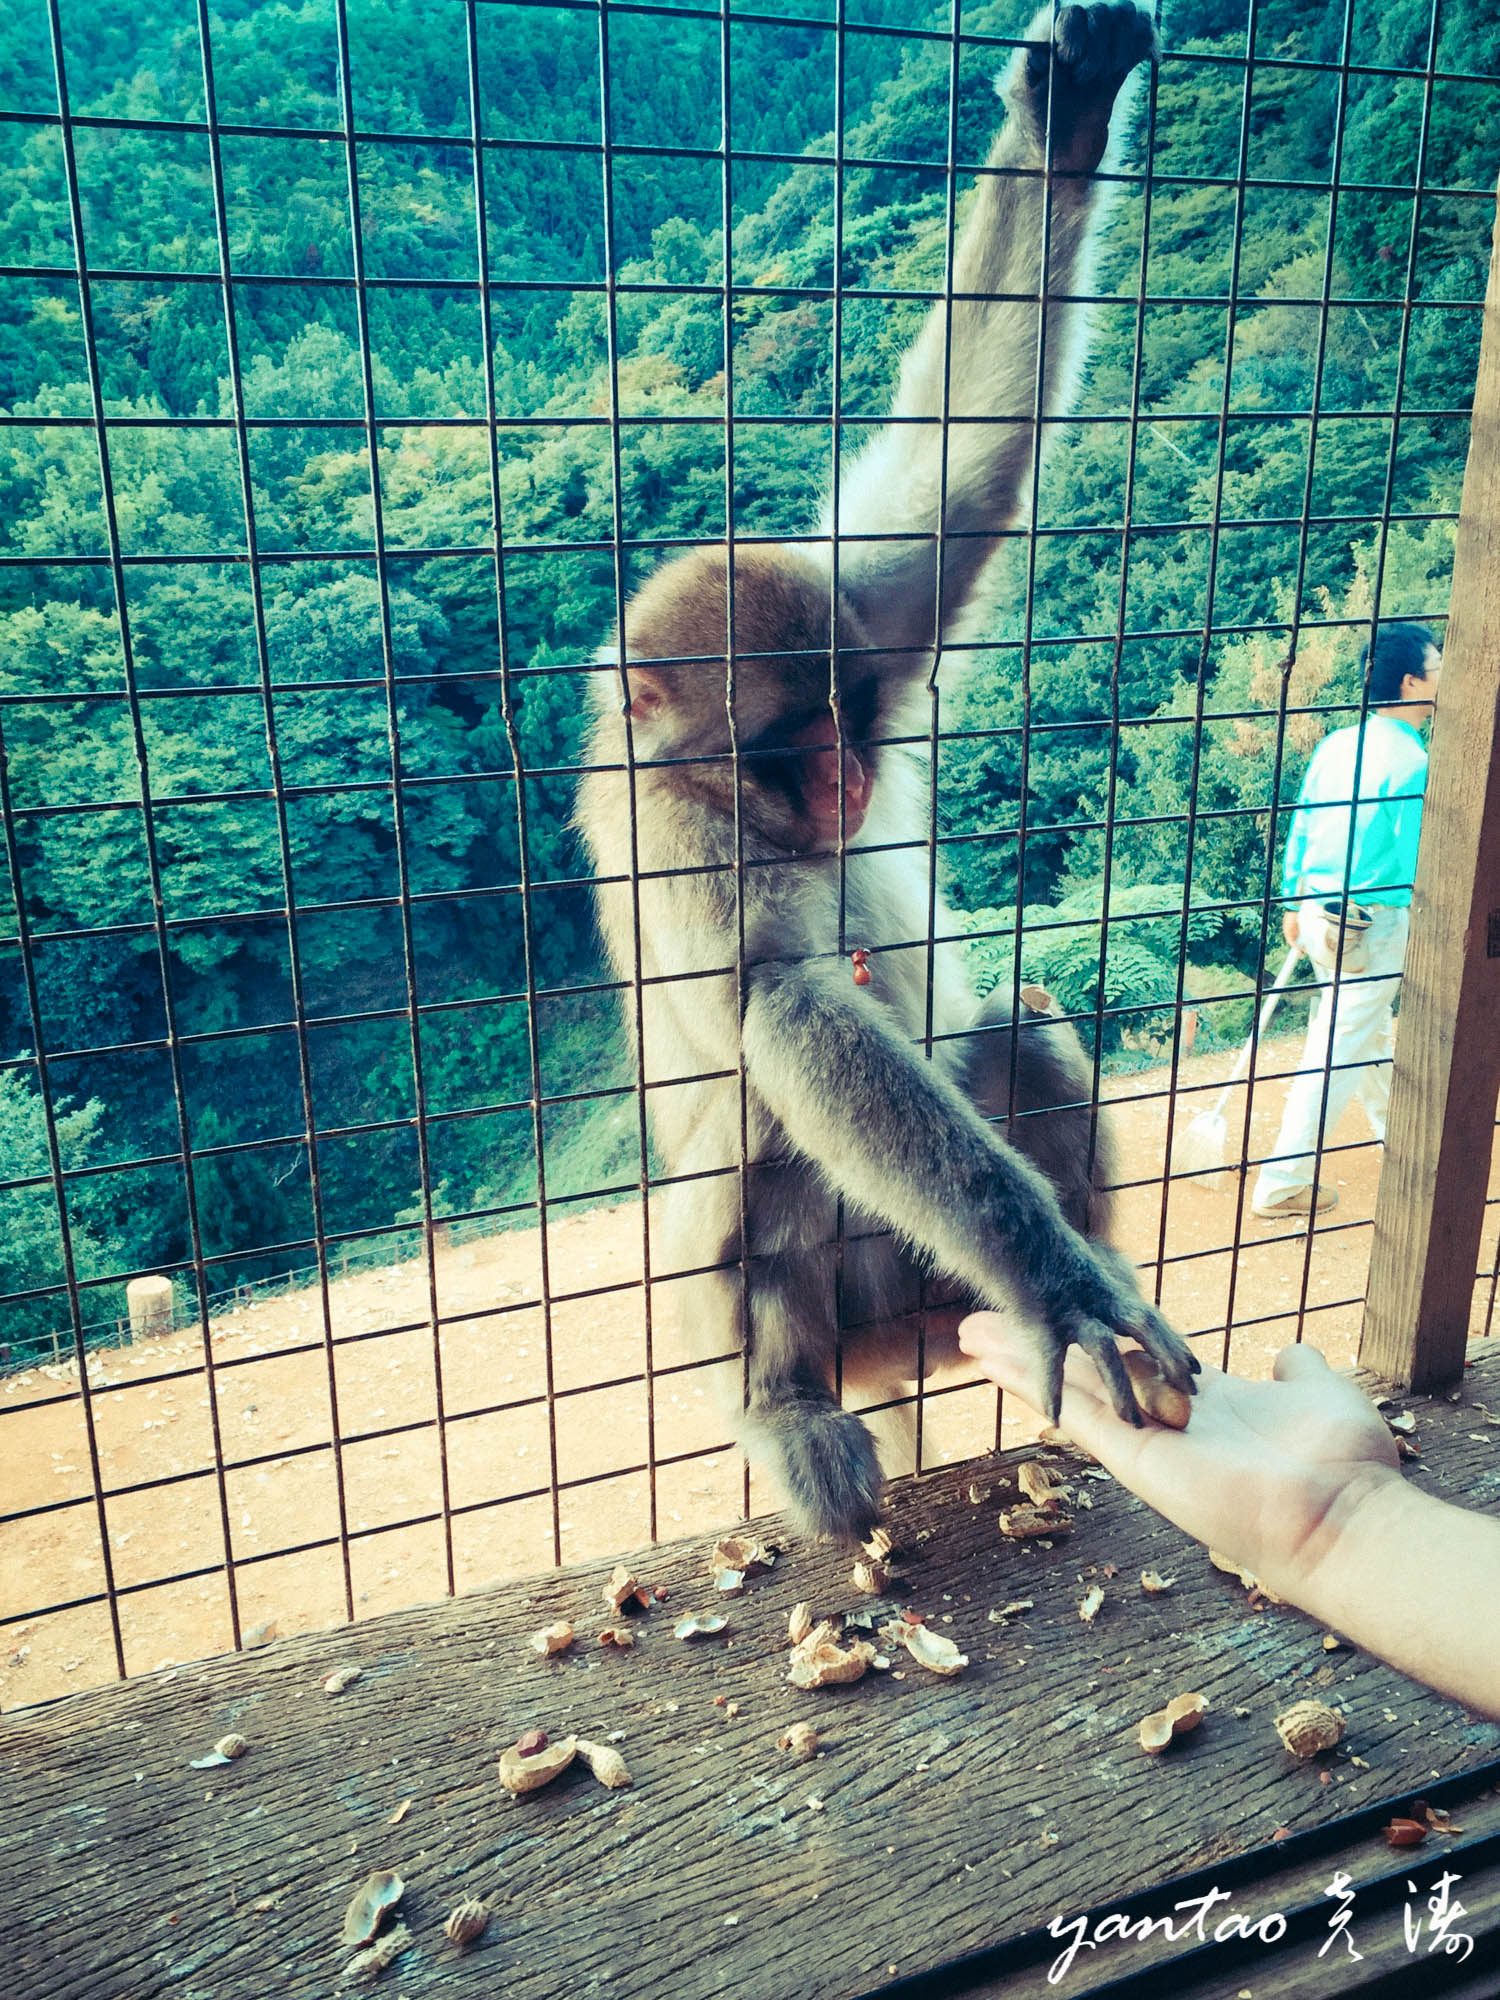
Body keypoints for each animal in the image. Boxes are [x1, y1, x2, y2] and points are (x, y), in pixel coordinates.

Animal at [576, 0, 1200, 1536]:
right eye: (789, 738)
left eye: (856, 717)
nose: (852, 779)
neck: (752, 808)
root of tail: (898, 1346)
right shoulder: (679, 837)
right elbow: (783, 1012)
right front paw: (1055, 1284)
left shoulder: (862, 607)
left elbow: (960, 484)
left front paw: (1066, 117)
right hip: (839, 1310)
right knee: (765, 1129)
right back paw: (788, 1400)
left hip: (923, 1287)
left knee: (1024, 1025)